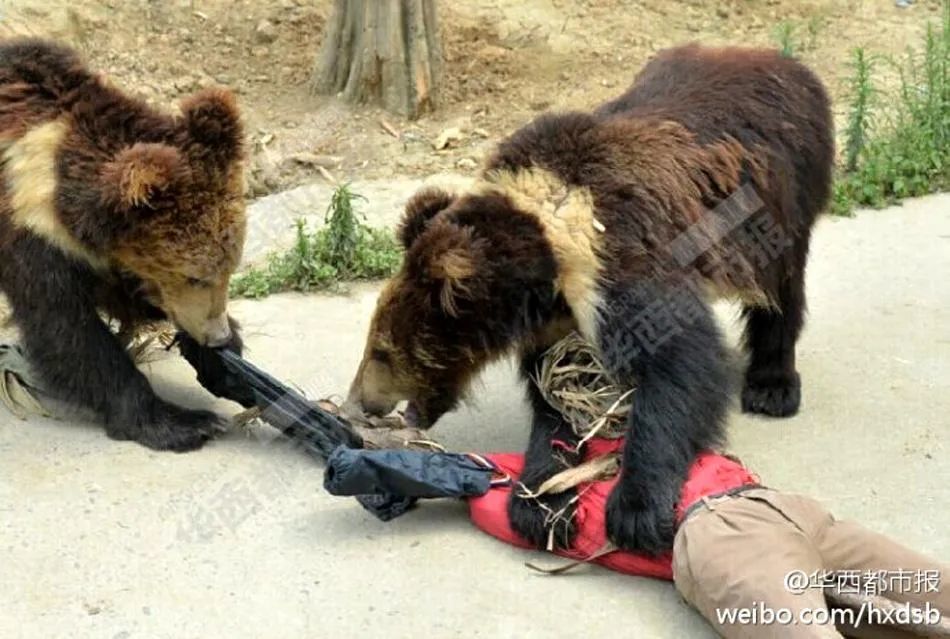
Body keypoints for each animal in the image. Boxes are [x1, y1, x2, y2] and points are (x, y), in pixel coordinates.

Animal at [0, 38, 249, 450]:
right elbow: (67, 332)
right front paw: (183, 422)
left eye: (230, 269)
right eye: (194, 276)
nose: (217, 337)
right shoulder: (32, 234)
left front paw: (226, 350)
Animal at [348, 45, 832, 556]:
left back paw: (772, 384)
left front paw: (637, 510)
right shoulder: (556, 322)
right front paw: (544, 501)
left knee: (781, 294)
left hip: (781, 198)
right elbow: (556, 397)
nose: (358, 403)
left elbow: (680, 365)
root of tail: (777, 58)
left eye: (382, 349)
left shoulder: (619, 260)